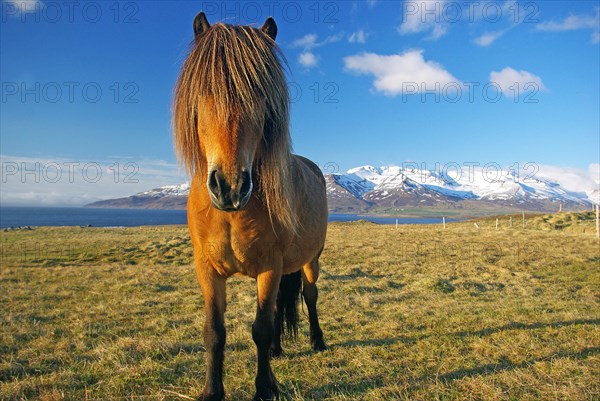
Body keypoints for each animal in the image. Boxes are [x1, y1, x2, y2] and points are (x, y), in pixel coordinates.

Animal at [172, 12, 328, 400]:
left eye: (260, 94)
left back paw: (318, 341)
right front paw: (212, 391)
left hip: (311, 260)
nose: (230, 187)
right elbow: (215, 332)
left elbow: (260, 328)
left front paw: (263, 388)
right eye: (205, 90)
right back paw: (277, 351)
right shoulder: (207, 270)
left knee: (310, 295)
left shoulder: (270, 268)